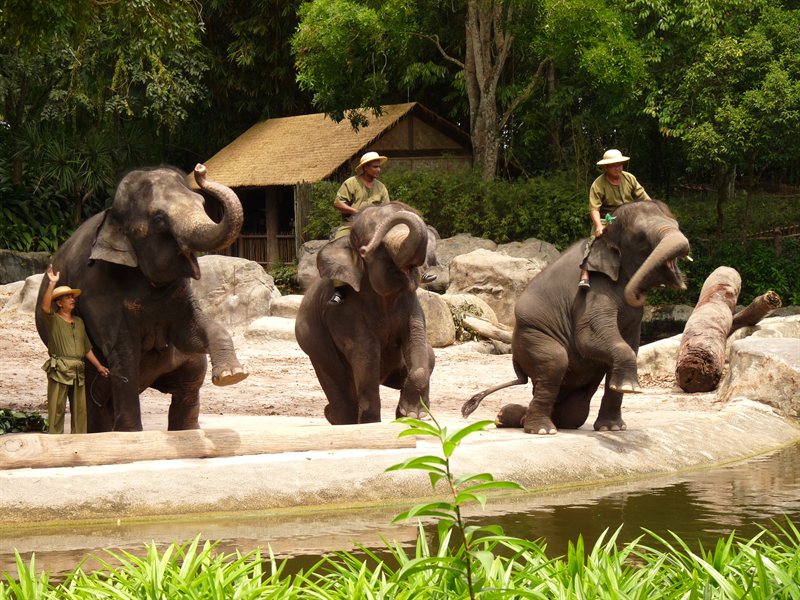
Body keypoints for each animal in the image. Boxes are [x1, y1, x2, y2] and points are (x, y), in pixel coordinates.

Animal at [35, 164, 248, 432]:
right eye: (158, 219)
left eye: (201, 202)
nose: (200, 170)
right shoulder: (98, 291)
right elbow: (123, 354)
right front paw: (130, 433)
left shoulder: (180, 291)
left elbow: (189, 332)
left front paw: (232, 374)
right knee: (94, 400)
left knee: (191, 378)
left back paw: (187, 430)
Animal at [295, 201, 436, 425]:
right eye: (377, 249)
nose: (364, 249)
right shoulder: (345, 313)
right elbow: (366, 357)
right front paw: (372, 424)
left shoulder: (411, 305)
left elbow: (417, 343)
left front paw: (413, 415)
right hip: (314, 345)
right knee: (339, 386)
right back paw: (339, 419)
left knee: (428, 355)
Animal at [462, 200, 691, 435]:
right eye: (640, 237)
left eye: (677, 224)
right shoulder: (591, 293)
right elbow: (588, 339)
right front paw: (631, 389)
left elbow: (629, 344)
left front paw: (613, 428)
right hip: (531, 336)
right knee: (555, 363)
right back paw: (542, 430)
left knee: (572, 412)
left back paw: (506, 417)